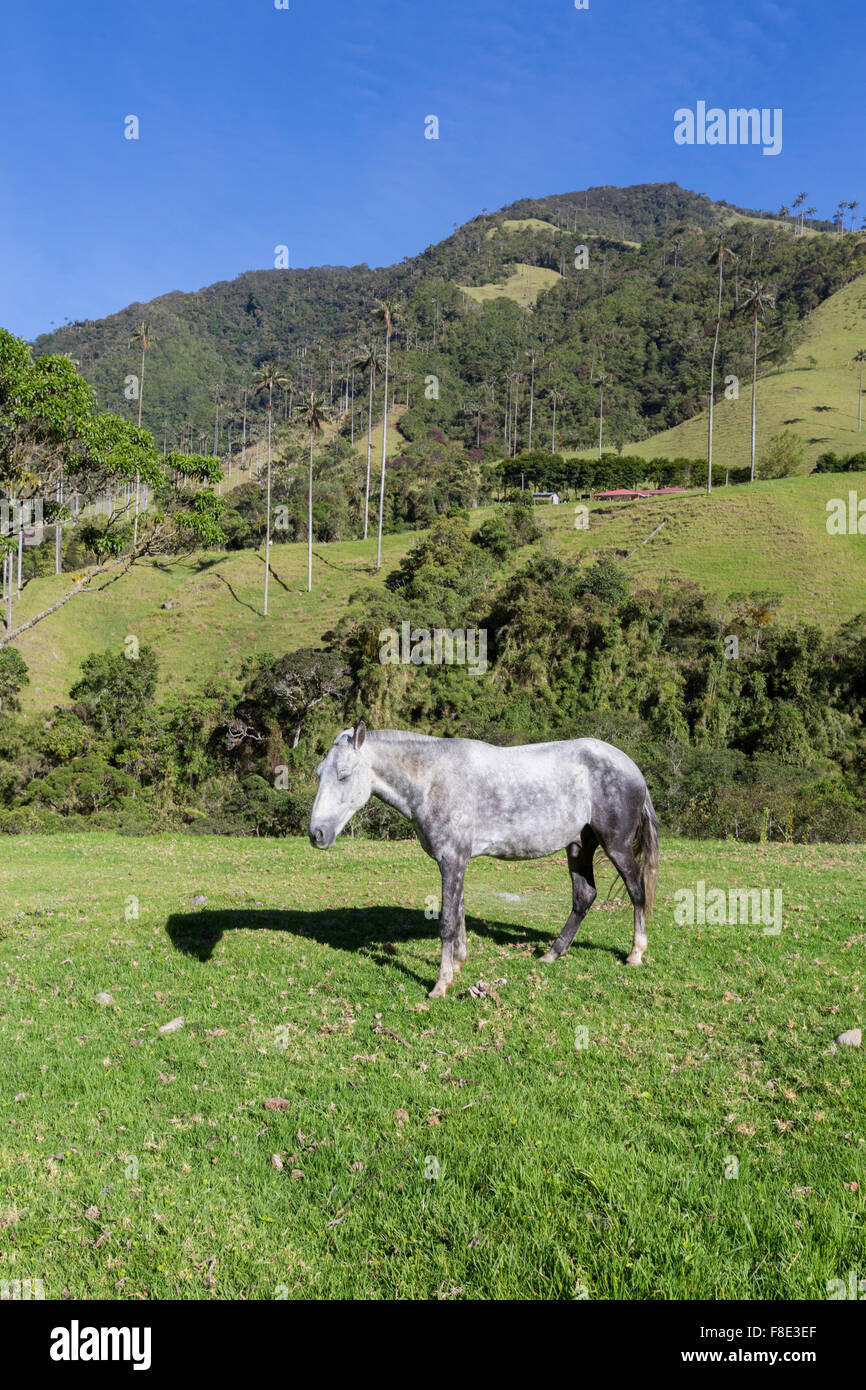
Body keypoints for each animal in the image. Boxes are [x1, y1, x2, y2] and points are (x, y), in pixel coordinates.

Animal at [309, 723, 659, 999]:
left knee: (636, 892)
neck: (433, 778)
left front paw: (440, 984)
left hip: (616, 846)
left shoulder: (452, 859)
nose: (317, 834)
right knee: (584, 896)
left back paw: (635, 954)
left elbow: (447, 922)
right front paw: (459, 964)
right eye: (319, 774)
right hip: (578, 847)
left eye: (344, 775)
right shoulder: (455, 861)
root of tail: (632, 769)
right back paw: (552, 954)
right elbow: (459, 913)